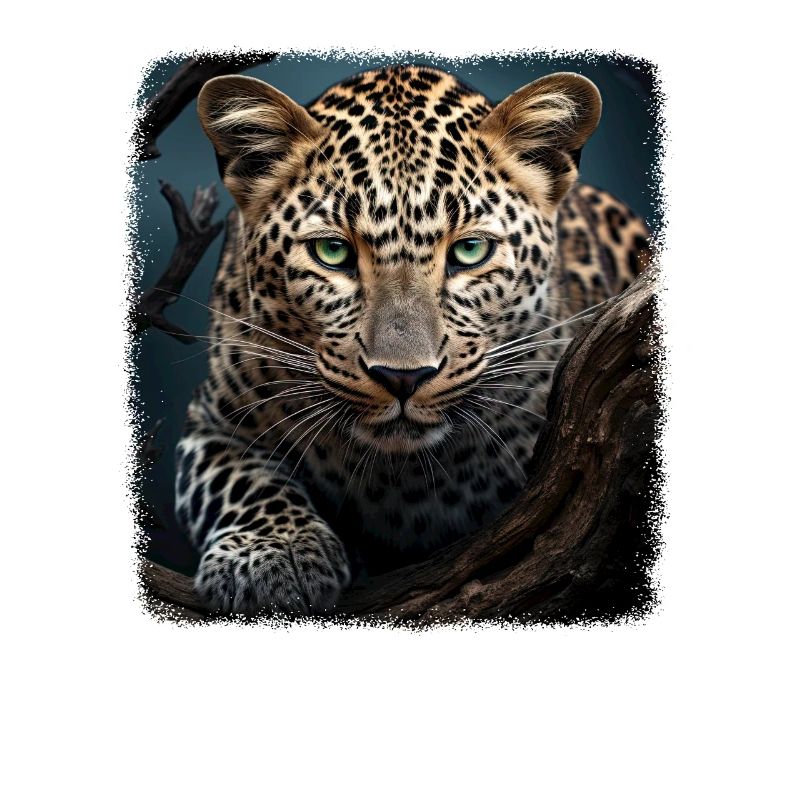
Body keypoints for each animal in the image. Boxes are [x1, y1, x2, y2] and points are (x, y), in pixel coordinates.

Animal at [174, 64, 651, 615]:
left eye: (470, 250)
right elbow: (241, 481)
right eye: (332, 252)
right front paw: (272, 554)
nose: (403, 378)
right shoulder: (211, 422)